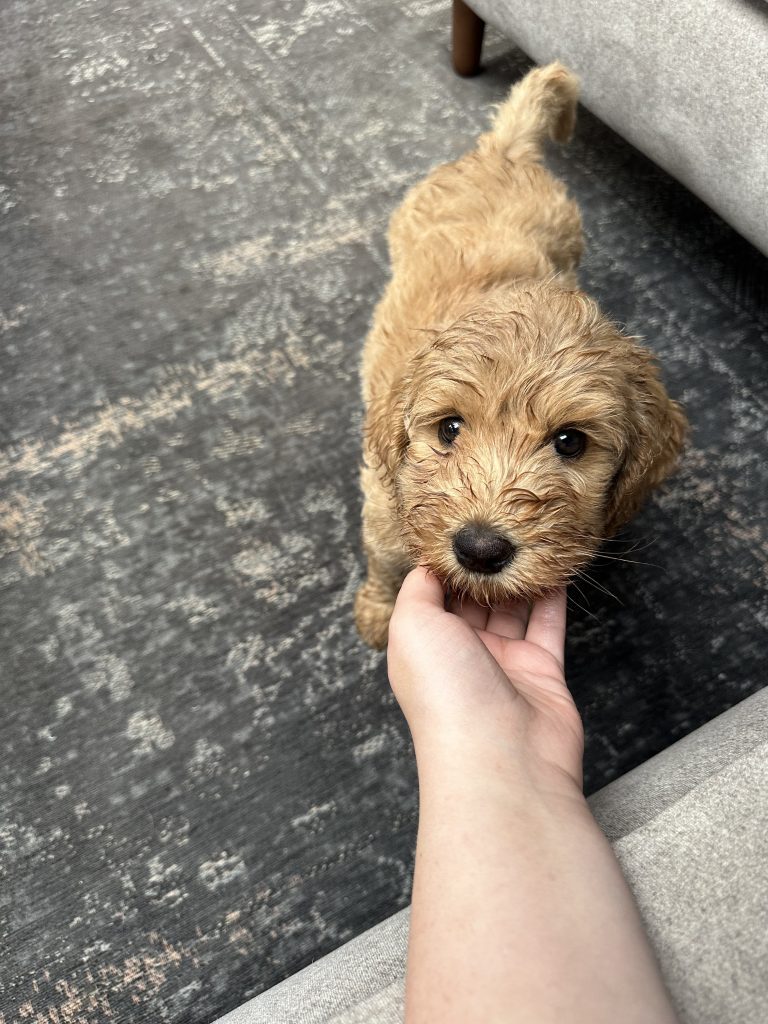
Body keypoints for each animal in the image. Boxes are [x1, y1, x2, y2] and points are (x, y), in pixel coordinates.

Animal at [358, 61, 688, 647]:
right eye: (449, 429)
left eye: (570, 442)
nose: (480, 549)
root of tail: (504, 151)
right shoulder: (380, 506)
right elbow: (385, 559)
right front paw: (378, 614)